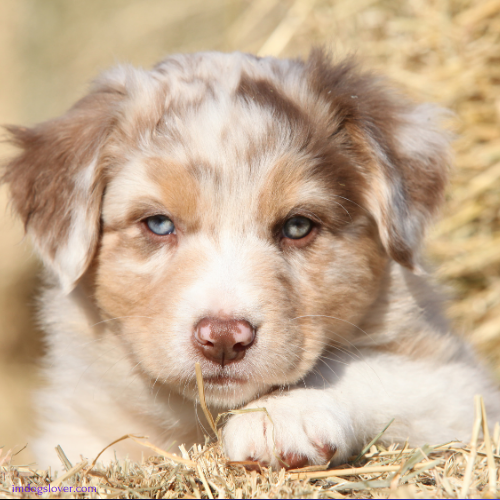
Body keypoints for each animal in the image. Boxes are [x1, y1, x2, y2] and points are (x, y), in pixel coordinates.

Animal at [3, 50, 500, 468]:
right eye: (159, 224)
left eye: (297, 227)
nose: (224, 339)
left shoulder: (463, 387)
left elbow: (368, 368)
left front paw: (280, 416)